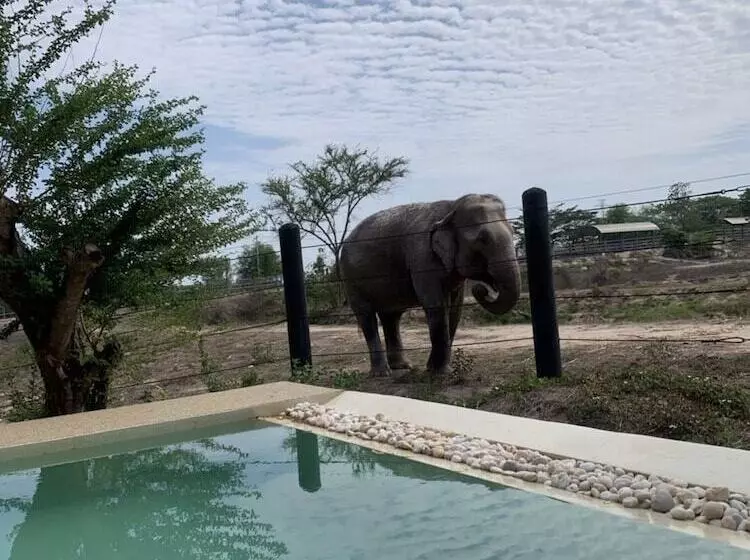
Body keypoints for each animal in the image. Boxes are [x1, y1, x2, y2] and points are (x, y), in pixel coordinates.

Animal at [338, 193, 521, 378]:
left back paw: (402, 366)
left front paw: (433, 369)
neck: (452, 206)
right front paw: (442, 373)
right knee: (367, 317)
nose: (482, 289)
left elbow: (455, 310)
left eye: (513, 232)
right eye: (482, 240)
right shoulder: (422, 258)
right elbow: (436, 306)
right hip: (351, 278)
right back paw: (382, 373)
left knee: (391, 317)